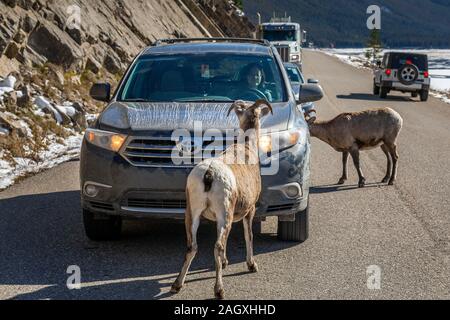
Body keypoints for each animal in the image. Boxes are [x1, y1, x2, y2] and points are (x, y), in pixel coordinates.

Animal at [171, 99, 272, 300]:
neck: (247, 148)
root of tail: (209, 174)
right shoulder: (250, 210)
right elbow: (248, 236)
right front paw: (251, 265)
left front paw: (225, 263)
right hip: (224, 214)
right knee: (217, 245)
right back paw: (219, 290)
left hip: (192, 213)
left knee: (192, 246)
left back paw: (177, 285)